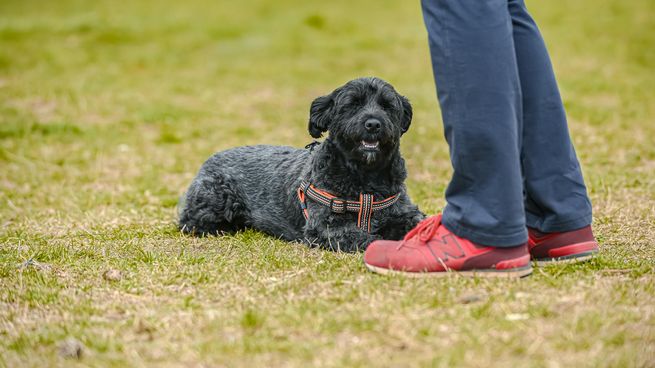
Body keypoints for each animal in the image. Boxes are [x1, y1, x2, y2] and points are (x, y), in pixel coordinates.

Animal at [178, 76, 426, 252]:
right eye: (352, 104)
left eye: (387, 106)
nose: (373, 124)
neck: (366, 179)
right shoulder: (325, 227)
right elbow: (365, 238)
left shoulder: (403, 212)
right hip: (215, 201)